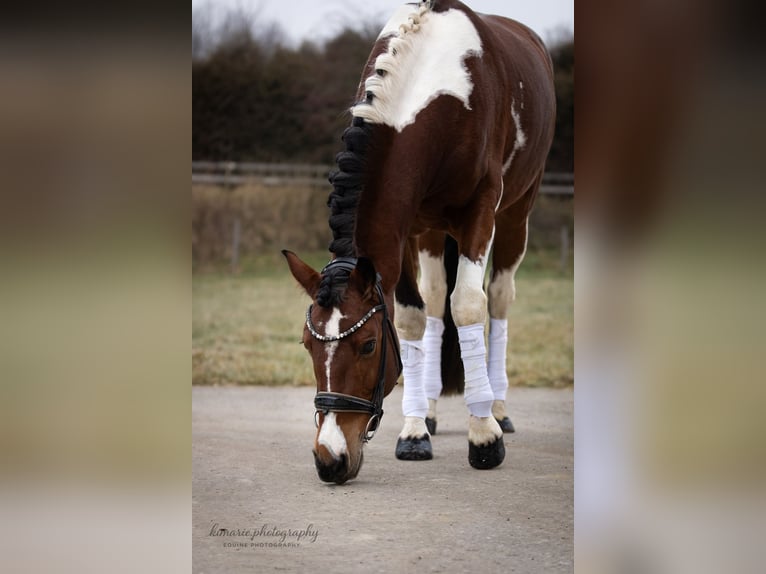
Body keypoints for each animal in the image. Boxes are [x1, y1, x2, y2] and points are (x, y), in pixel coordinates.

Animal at [283, 0, 555, 484]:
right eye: (307, 344)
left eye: (369, 345)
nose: (329, 459)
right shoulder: (407, 226)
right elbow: (412, 319)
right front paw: (413, 431)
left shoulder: (481, 210)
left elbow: (468, 305)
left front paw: (484, 436)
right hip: (431, 231)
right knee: (433, 302)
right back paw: (427, 409)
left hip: (516, 212)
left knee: (498, 297)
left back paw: (498, 408)